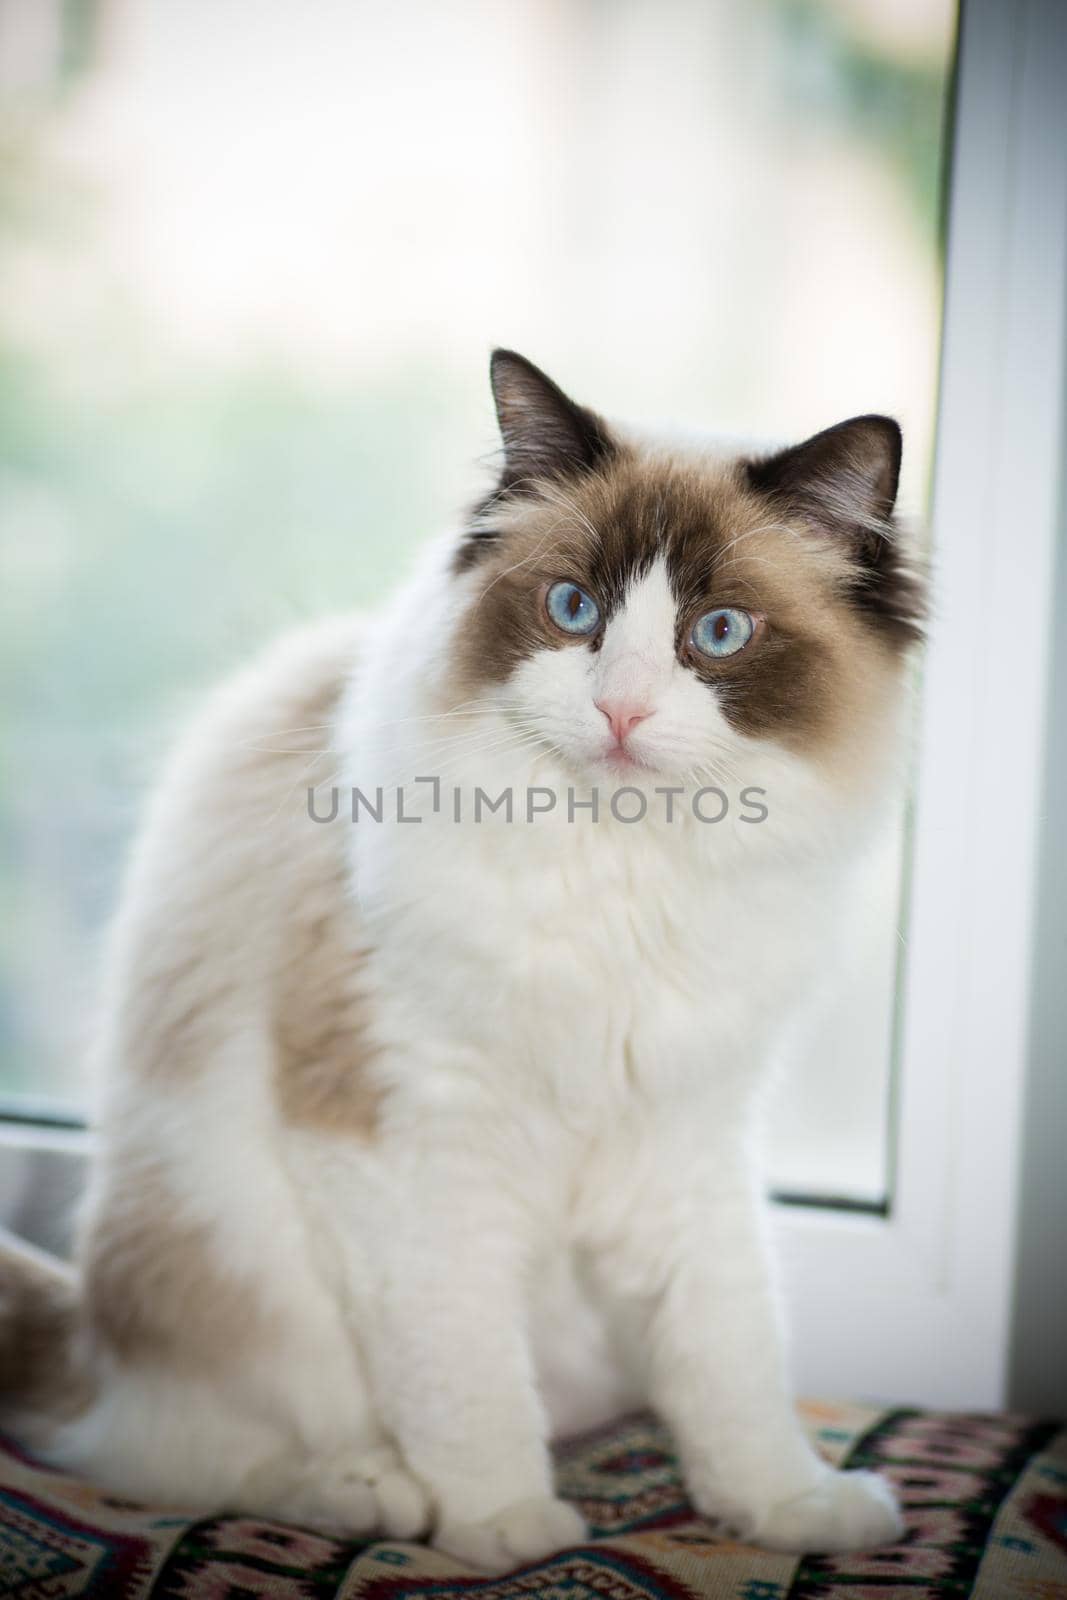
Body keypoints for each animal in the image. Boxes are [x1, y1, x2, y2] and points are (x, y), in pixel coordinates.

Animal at [0, 353, 921, 1574]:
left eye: (717, 632)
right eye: (573, 612)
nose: (619, 711)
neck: (617, 877)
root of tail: (90, 1337)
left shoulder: (685, 1134)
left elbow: (728, 1356)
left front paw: (784, 1508)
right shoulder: (413, 1135)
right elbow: (465, 1365)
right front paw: (502, 1527)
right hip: (239, 1281)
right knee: (189, 1459)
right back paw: (370, 1494)